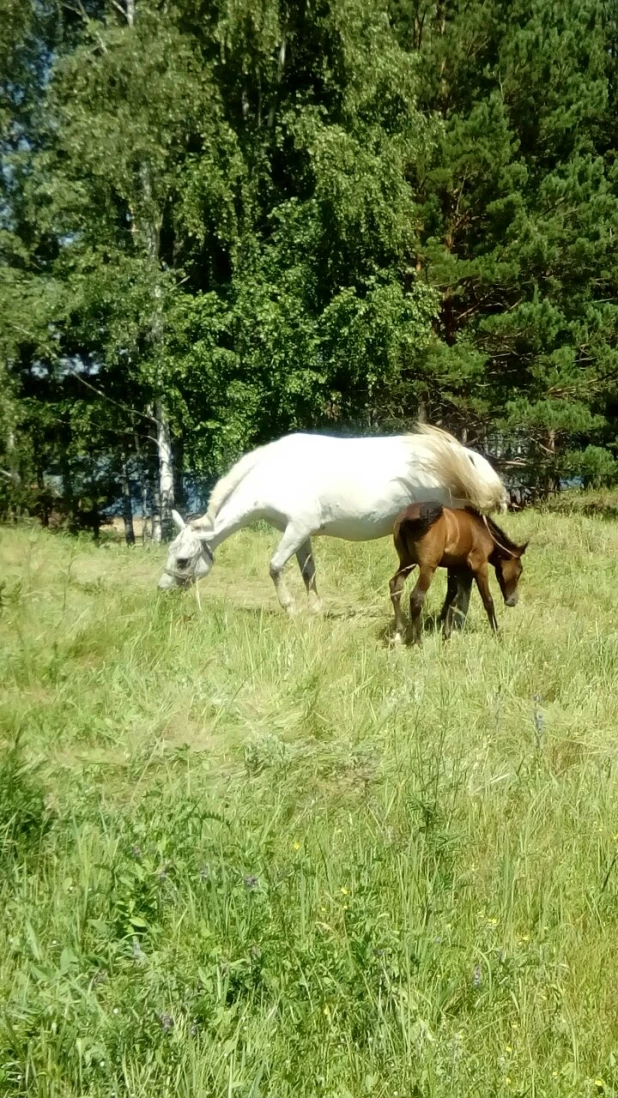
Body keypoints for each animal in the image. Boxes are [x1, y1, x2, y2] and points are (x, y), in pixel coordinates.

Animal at [155, 419, 507, 614]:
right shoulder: (301, 534)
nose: (162, 590)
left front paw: (290, 608)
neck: (274, 474)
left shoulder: (297, 529)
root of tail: (466, 457)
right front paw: (314, 609)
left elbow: (275, 567)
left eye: (183, 561)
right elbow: (308, 572)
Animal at [390, 502, 526, 645]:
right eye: (520, 570)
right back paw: (418, 641)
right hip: (427, 567)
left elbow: (452, 596)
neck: (482, 529)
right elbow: (487, 601)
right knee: (416, 597)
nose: (513, 601)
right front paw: (497, 634)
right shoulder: (479, 566)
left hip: (407, 562)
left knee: (395, 587)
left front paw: (445, 631)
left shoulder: (456, 567)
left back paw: (399, 632)